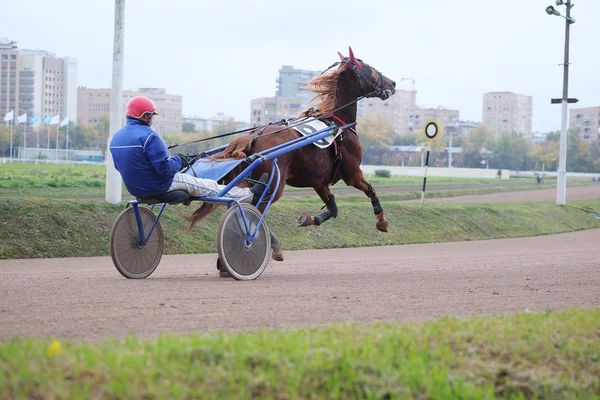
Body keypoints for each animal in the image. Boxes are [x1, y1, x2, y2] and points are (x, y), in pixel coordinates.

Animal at [185, 47, 396, 268]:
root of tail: (254, 135)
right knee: (254, 211)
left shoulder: (319, 182)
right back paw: (260, 244)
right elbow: (371, 190)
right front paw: (382, 221)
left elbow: (333, 208)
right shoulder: (352, 174)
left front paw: (310, 219)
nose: (392, 84)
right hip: (274, 184)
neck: (337, 123)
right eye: (369, 68)